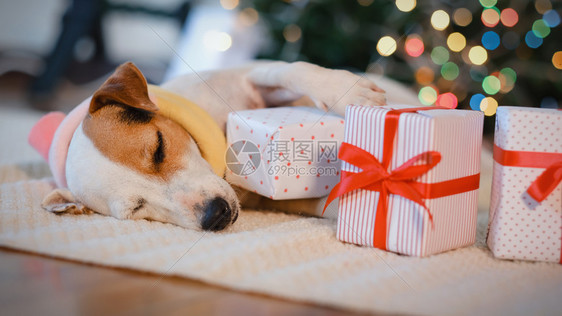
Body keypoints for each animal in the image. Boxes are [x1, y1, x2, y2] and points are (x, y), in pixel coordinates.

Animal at [30, 60, 416, 231]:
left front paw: (346, 91)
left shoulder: (250, 78)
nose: (214, 215)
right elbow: (325, 203)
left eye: (158, 148)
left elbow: (291, 68)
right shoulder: (271, 199)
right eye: (136, 209)